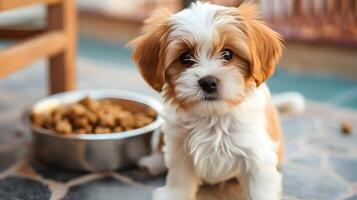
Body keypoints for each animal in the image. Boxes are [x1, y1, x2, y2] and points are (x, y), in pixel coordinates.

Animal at [131, 1, 284, 200]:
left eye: (228, 54)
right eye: (185, 58)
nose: (208, 82)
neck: (213, 116)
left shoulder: (257, 155)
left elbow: (259, 188)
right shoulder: (179, 146)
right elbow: (179, 176)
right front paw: (174, 194)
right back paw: (151, 163)